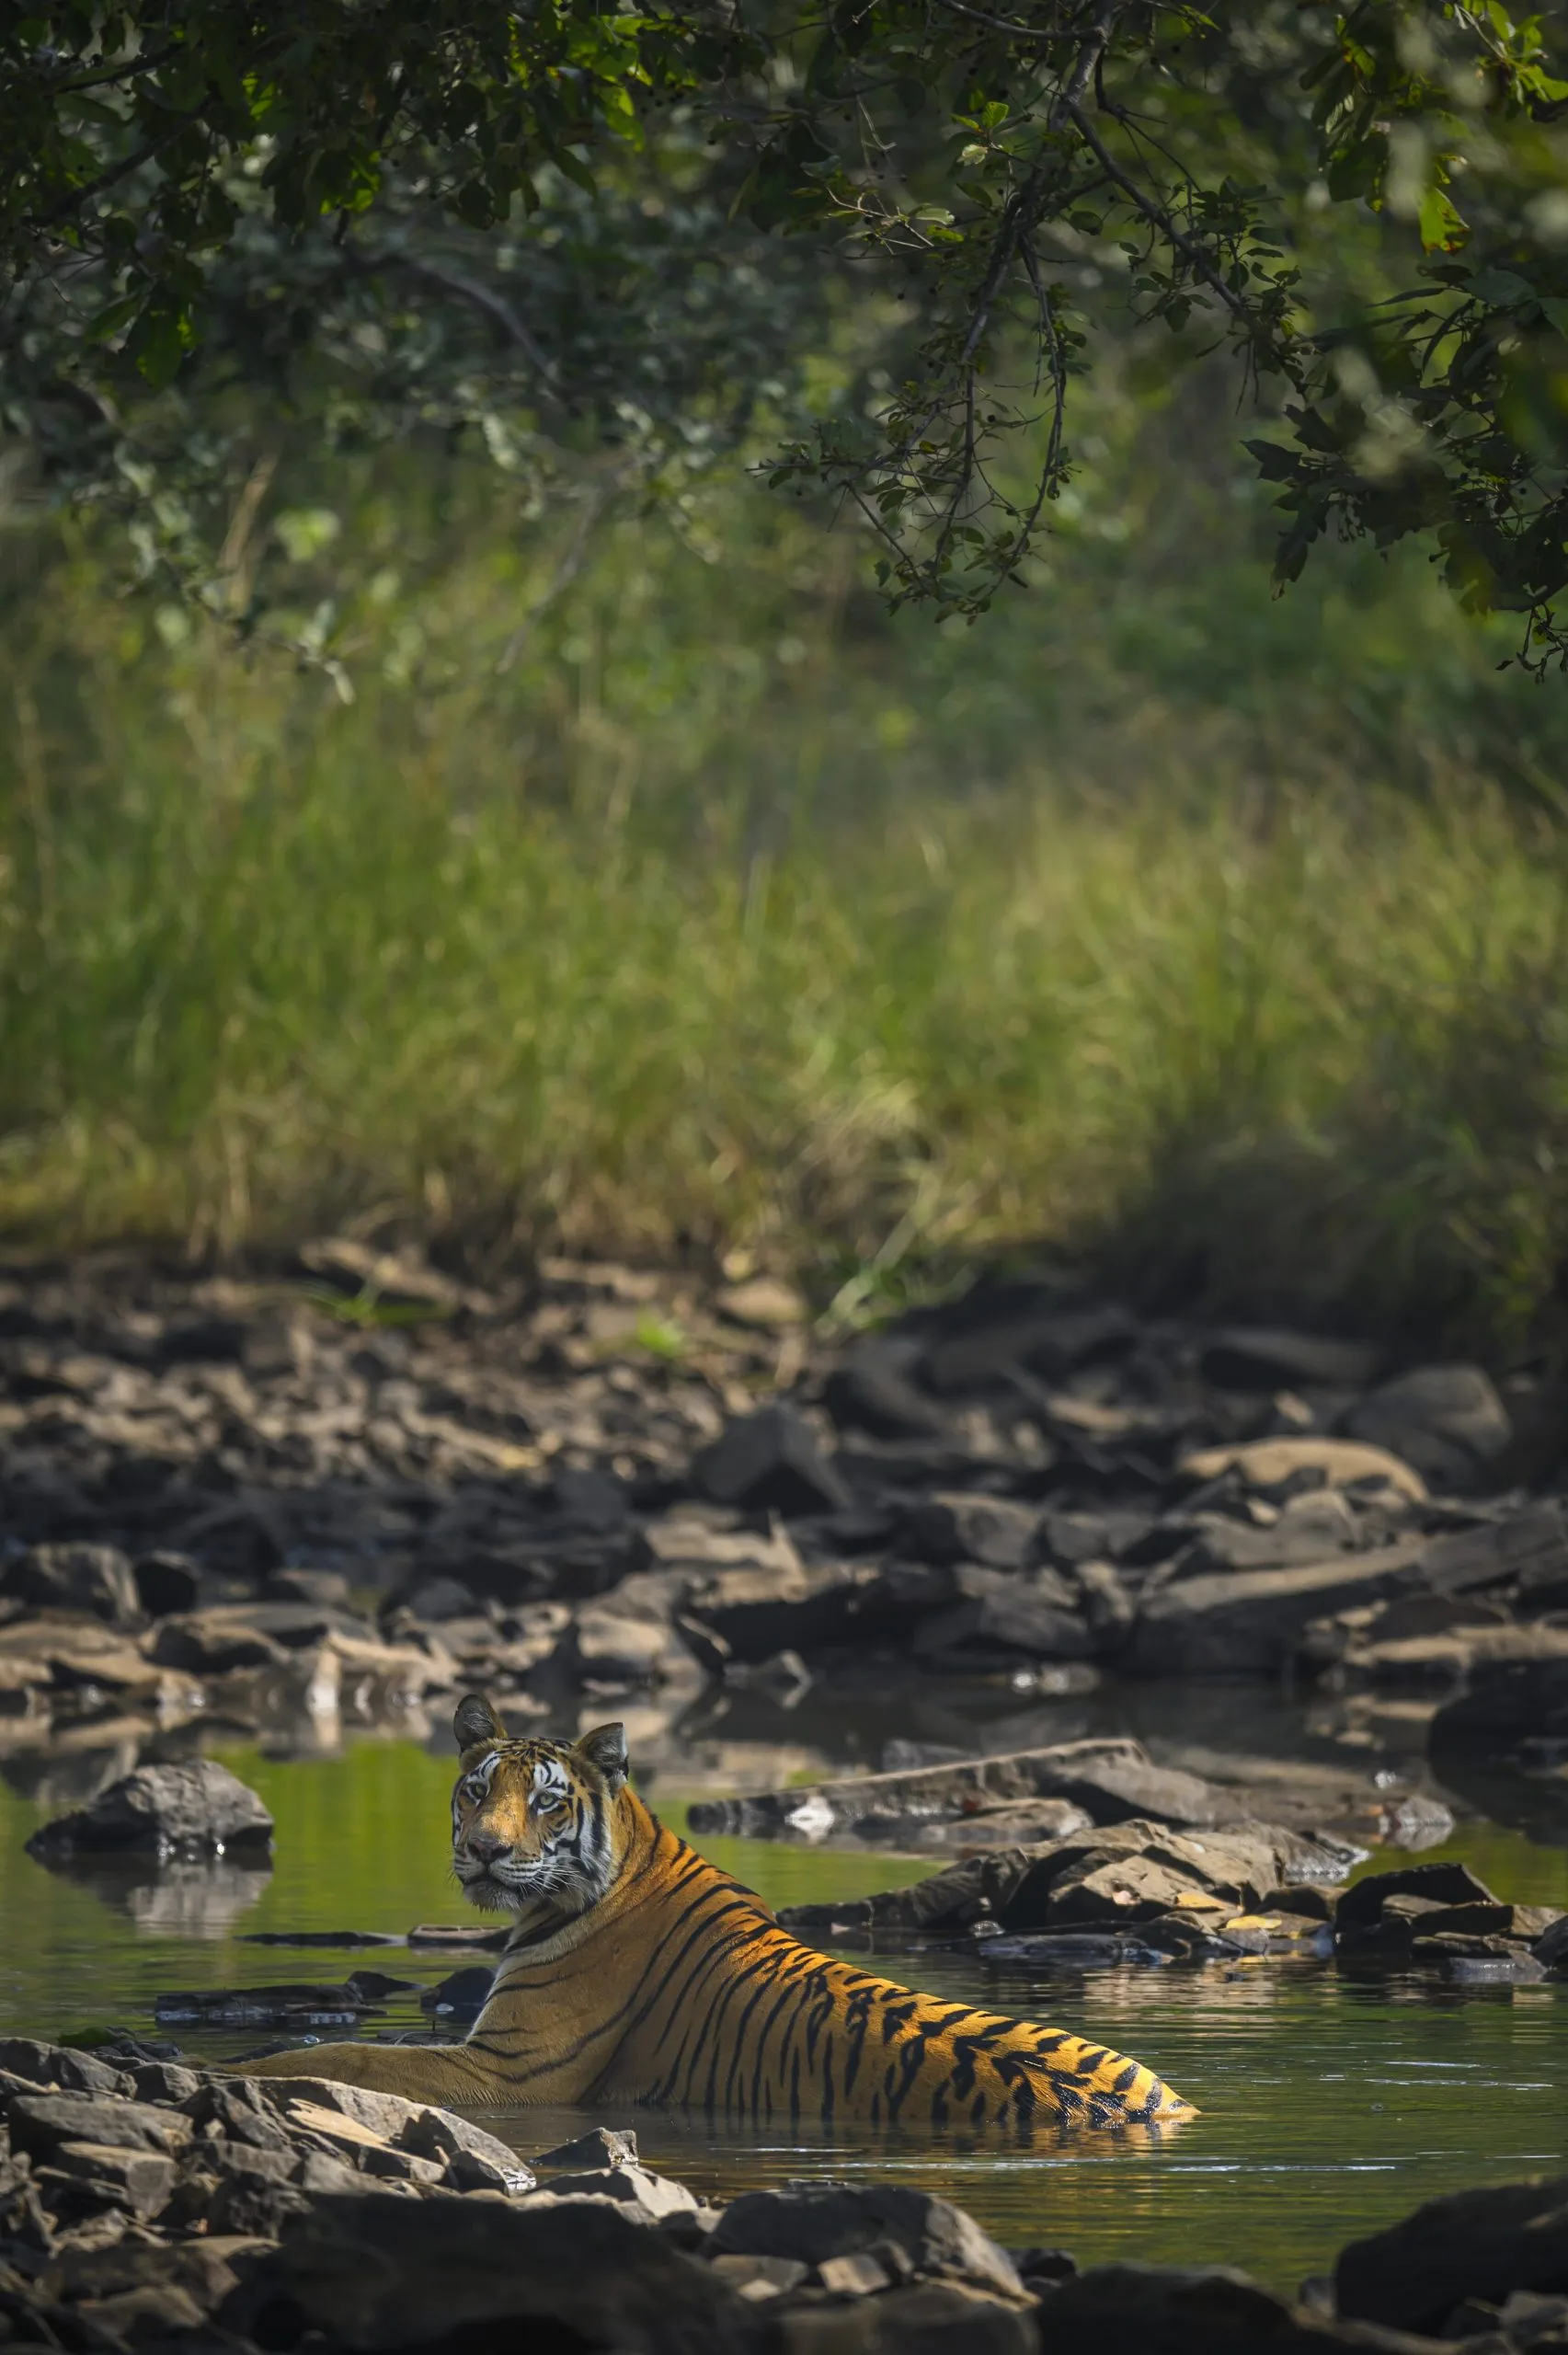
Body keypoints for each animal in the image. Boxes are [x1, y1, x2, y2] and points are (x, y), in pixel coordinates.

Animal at [240, 1694, 1195, 2133]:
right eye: (476, 1790)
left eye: (544, 1801)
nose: (481, 1848)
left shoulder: (509, 2073)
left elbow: (354, 2057)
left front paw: (253, 2065)